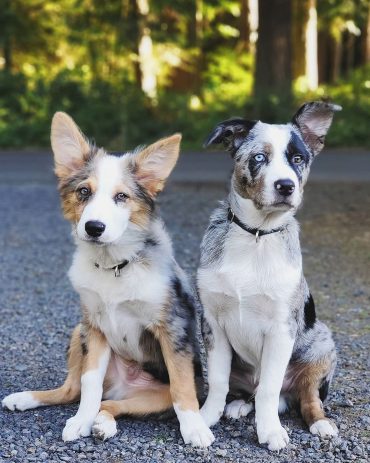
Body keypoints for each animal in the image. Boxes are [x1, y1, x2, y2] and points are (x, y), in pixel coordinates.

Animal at [2, 112, 214, 450]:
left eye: (121, 197)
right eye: (83, 192)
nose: (94, 227)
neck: (114, 265)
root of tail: (125, 386)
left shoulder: (172, 327)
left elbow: (182, 386)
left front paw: (194, 428)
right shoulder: (95, 327)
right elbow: (90, 385)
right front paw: (80, 421)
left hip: (153, 397)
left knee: (114, 404)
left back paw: (103, 424)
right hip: (79, 331)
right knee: (76, 391)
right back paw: (29, 400)